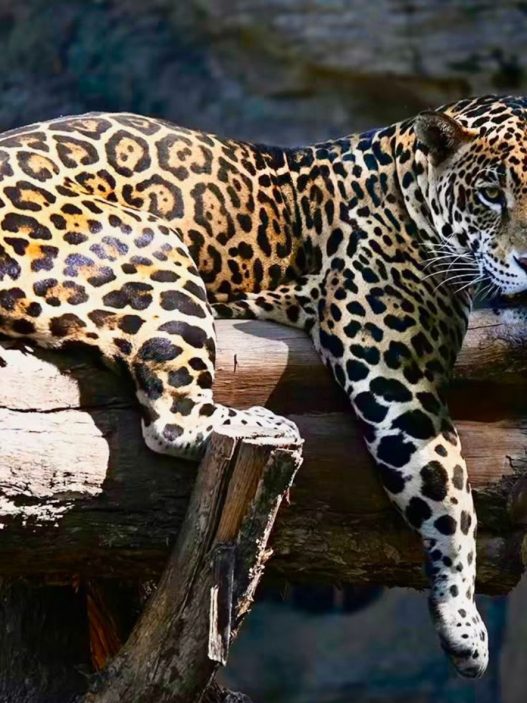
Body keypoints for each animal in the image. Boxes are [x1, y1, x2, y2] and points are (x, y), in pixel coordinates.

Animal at [1, 93, 526, 678]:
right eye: (491, 195)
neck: (407, 185)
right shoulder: (396, 380)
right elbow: (452, 496)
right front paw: (464, 625)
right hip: (157, 254)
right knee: (170, 417)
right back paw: (261, 420)